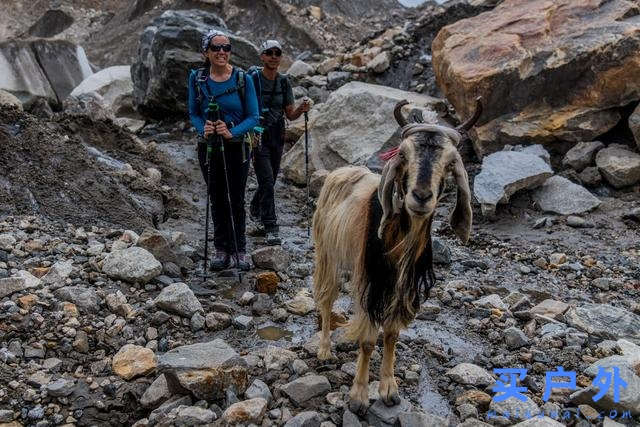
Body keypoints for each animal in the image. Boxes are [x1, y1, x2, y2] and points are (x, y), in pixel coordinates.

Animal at [310, 99, 480, 414]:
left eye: (451, 162)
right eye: (403, 154)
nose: (421, 196)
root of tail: (339, 172)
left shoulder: (401, 287)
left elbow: (390, 335)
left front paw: (389, 389)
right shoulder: (371, 282)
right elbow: (367, 340)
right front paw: (359, 396)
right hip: (327, 254)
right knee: (326, 300)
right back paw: (325, 350)